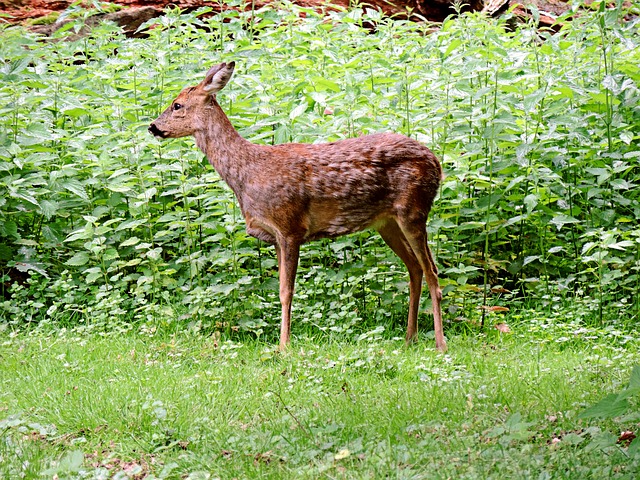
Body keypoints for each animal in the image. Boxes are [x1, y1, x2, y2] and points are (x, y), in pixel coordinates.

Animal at [150, 62, 448, 350]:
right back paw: (410, 338)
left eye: (177, 105)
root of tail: (437, 163)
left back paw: (440, 344)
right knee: (415, 268)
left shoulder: (290, 226)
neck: (249, 174)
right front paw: (282, 343)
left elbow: (286, 291)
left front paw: (284, 346)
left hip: (414, 210)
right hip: (387, 223)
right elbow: (280, 290)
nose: (153, 126)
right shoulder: (274, 236)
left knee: (432, 272)